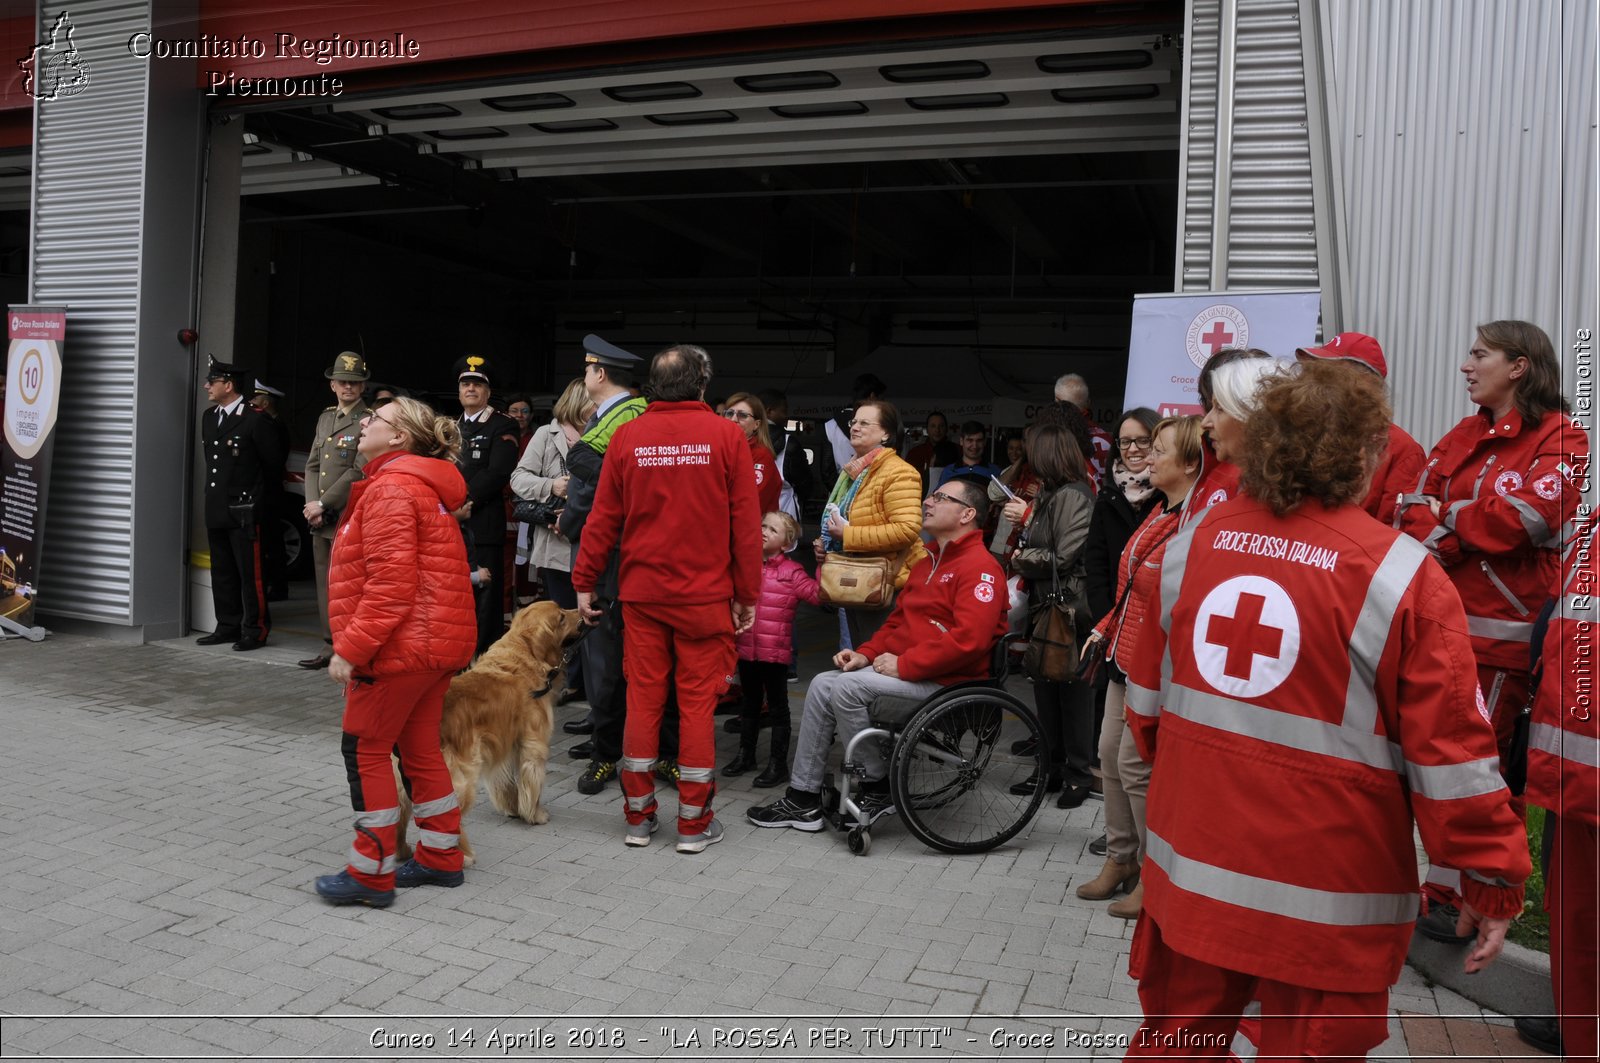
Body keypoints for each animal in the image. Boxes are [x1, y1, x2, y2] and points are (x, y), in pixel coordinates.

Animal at [396, 601, 585, 870]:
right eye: (561, 617)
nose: (585, 614)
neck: (524, 654)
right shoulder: (533, 744)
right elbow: (533, 785)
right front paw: (535, 815)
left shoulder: (505, 744)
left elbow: (507, 783)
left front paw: (513, 808)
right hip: (460, 778)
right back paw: (462, 855)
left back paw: (401, 851)